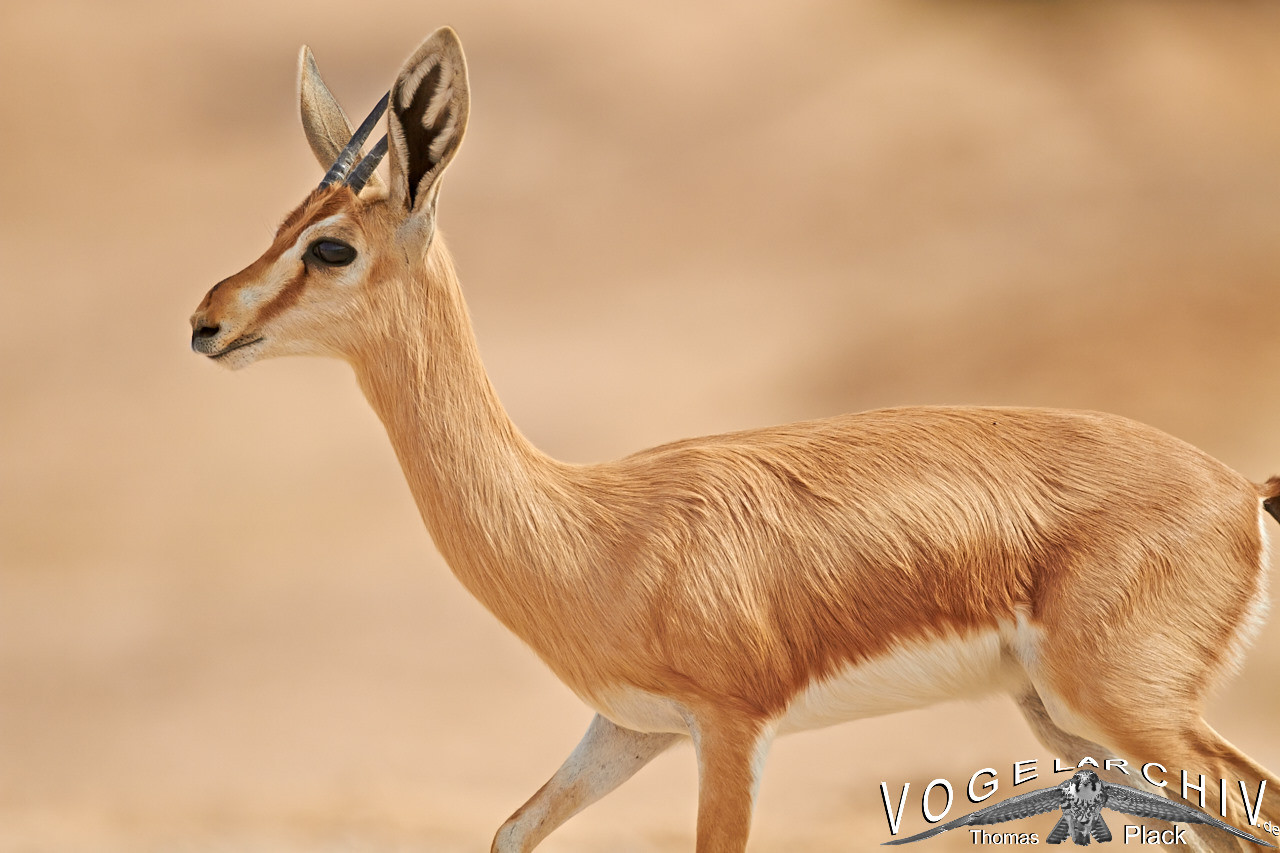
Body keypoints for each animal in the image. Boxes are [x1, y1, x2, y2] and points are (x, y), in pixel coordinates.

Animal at [190, 27, 1280, 853]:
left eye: (331, 247)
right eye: (283, 220)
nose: (207, 321)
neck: (591, 530)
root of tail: (1235, 486)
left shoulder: (731, 729)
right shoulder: (625, 730)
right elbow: (510, 830)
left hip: (1124, 711)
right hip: (1065, 720)